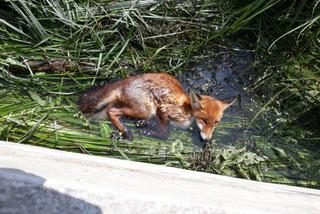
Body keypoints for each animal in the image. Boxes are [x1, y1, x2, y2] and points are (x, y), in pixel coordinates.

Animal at [79, 72, 236, 141]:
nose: (208, 140)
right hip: (146, 110)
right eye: (204, 120)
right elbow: (166, 134)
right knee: (112, 112)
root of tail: (124, 82)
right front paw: (150, 133)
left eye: (216, 123)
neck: (188, 111)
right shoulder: (163, 109)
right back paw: (126, 132)